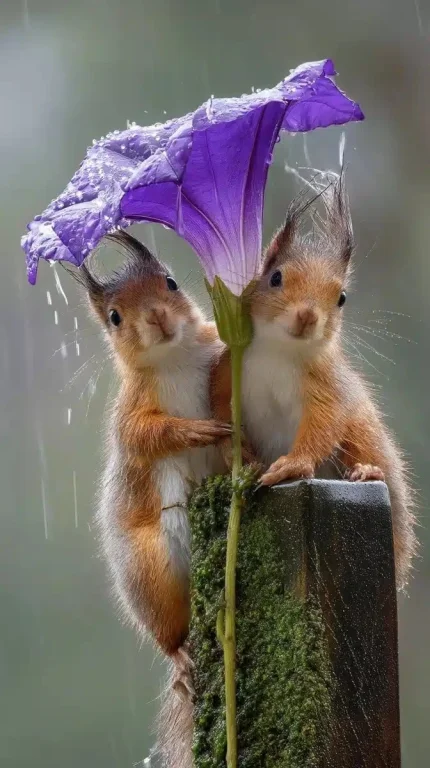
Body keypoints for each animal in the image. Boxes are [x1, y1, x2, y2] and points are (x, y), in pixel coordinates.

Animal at [74, 229, 228, 690]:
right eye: (114, 317)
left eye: (171, 283)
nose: (156, 317)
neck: (173, 357)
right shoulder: (130, 411)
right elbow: (144, 436)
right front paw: (194, 432)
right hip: (150, 572)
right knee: (167, 633)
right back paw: (180, 657)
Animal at [212, 174, 416, 590]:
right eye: (275, 278)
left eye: (341, 297)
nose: (307, 316)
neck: (280, 351)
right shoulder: (229, 367)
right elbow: (219, 408)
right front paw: (236, 455)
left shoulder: (327, 386)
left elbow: (323, 424)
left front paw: (292, 465)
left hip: (364, 432)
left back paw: (367, 470)